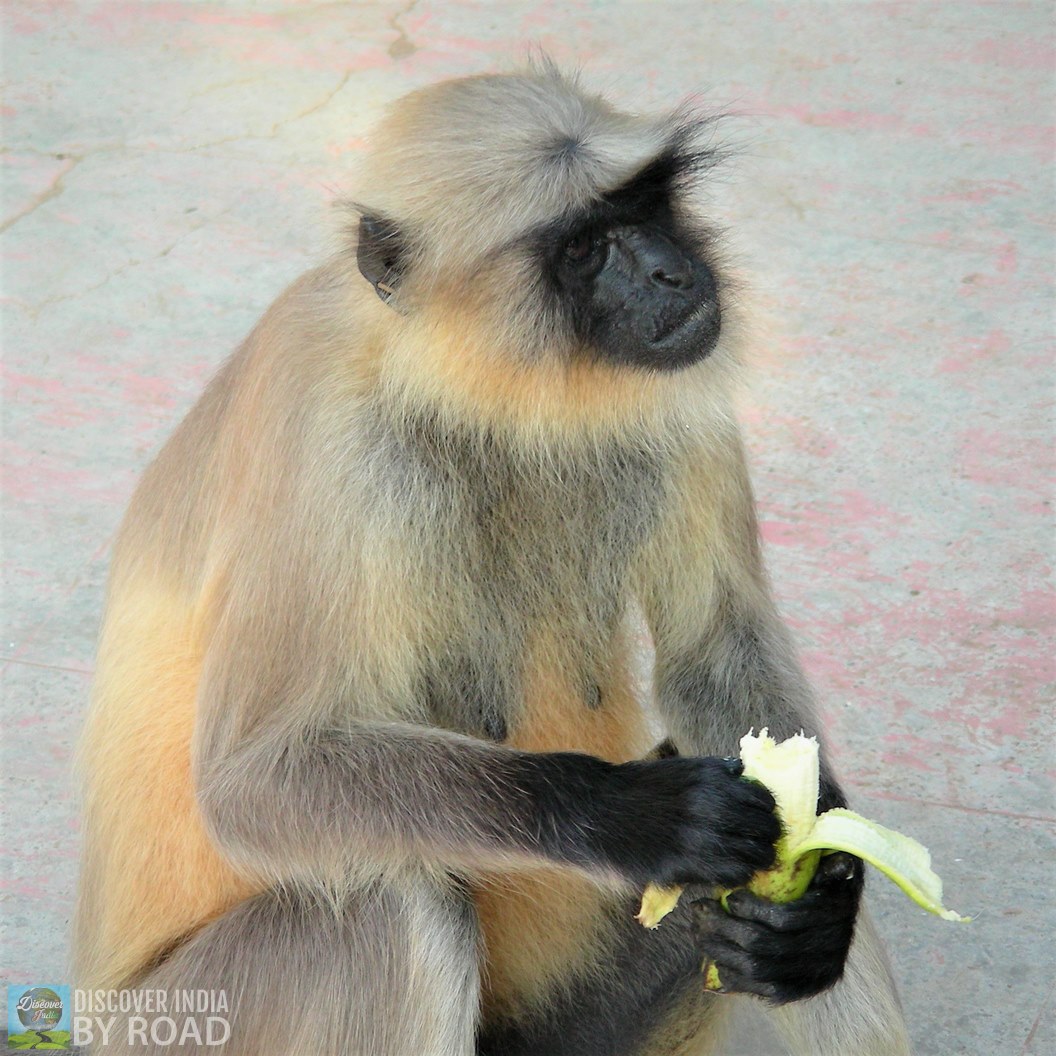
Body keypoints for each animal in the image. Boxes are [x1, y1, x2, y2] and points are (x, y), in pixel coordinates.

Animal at [76, 66, 908, 1056]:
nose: (671, 269)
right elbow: (257, 777)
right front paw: (630, 815)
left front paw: (822, 890)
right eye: (585, 248)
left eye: (648, 204)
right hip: (183, 1015)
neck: (476, 386)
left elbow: (718, 657)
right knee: (400, 907)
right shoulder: (323, 434)